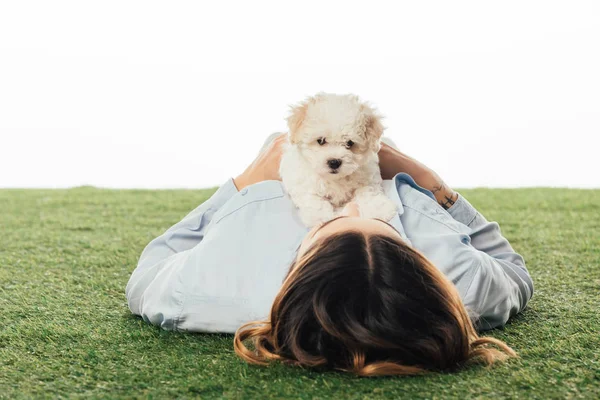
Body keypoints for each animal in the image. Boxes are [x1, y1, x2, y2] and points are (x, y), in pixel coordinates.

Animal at [280, 92, 398, 227]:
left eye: (349, 143)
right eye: (321, 140)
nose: (334, 162)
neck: (336, 179)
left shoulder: (368, 177)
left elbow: (367, 191)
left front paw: (379, 208)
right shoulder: (301, 183)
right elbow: (313, 199)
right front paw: (320, 217)